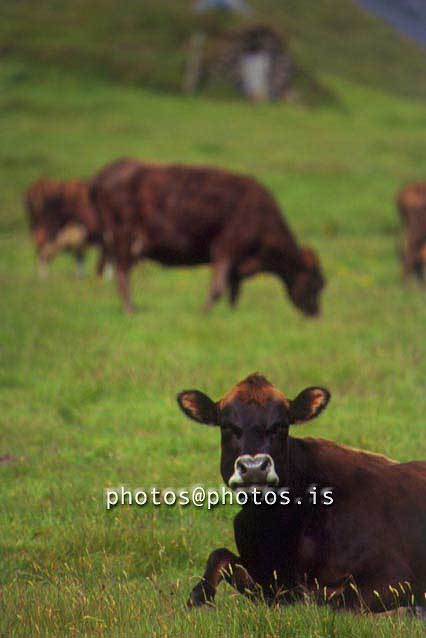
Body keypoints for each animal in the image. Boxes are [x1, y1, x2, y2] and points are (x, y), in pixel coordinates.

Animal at [91, 159, 324, 316]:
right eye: (317, 282)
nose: (316, 314)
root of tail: (110, 169)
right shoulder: (225, 249)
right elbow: (218, 288)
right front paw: (204, 312)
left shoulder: (236, 263)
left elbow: (234, 291)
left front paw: (232, 314)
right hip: (123, 238)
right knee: (122, 274)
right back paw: (130, 309)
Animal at [176, 376, 426, 620]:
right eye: (227, 426)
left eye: (281, 425)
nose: (254, 468)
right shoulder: (268, 581)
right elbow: (220, 557)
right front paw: (198, 599)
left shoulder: (394, 575)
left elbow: (336, 603)